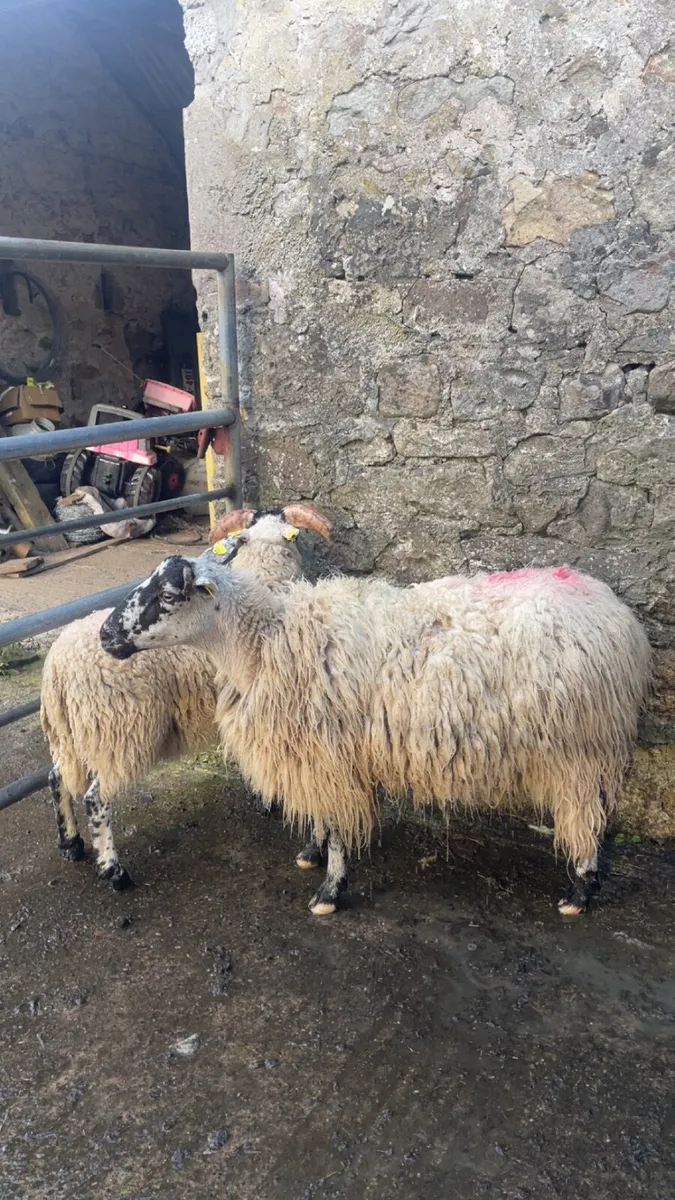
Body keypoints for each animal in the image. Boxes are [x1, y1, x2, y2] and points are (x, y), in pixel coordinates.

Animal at [40, 504, 331, 890]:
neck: (263, 576)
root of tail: (56, 665)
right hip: (118, 733)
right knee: (95, 800)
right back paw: (114, 871)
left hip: (72, 735)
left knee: (56, 778)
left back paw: (70, 843)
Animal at [99, 554, 652, 917]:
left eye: (169, 594)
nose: (105, 635)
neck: (262, 642)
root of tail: (617, 613)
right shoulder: (314, 757)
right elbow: (322, 818)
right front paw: (312, 851)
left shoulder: (331, 755)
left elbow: (341, 829)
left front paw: (330, 890)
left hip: (579, 749)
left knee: (589, 815)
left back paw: (579, 893)